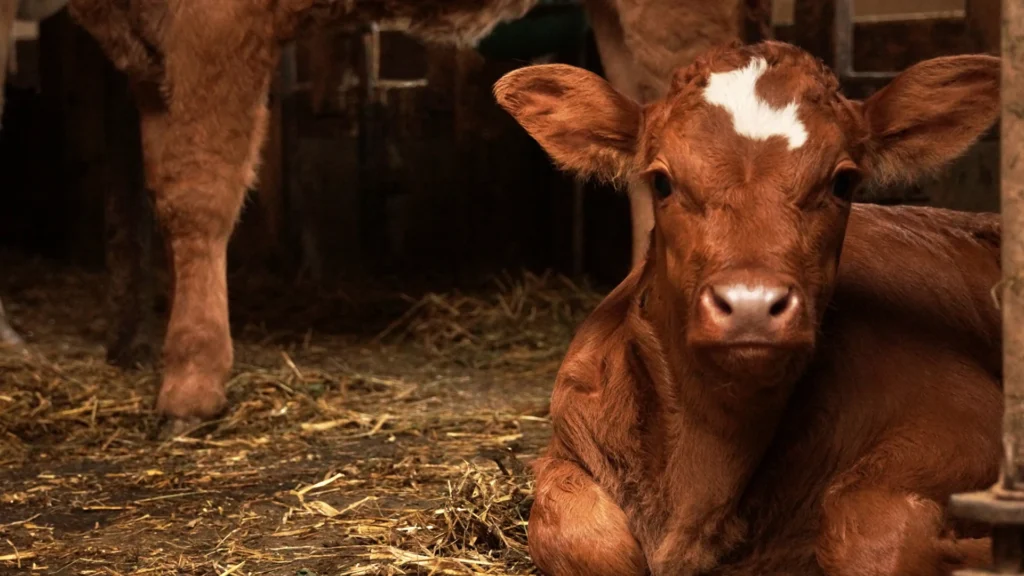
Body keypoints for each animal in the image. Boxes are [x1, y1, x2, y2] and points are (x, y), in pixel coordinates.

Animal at [493, 41, 1003, 575]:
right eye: (661, 182)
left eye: (843, 182)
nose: (751, 304)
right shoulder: (568, 448)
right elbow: (582, 537)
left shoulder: (965, 415)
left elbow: (865, 527)